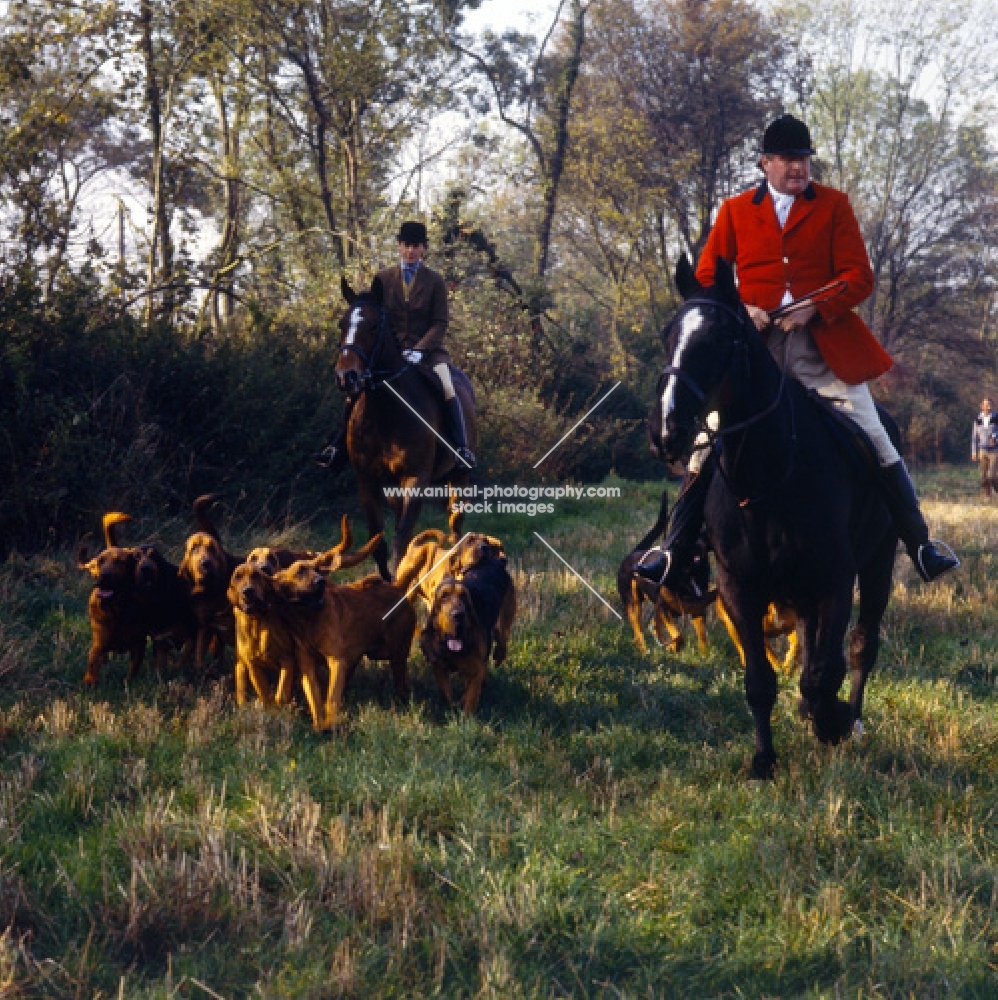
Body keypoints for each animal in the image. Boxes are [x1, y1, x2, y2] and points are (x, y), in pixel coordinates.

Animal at [336, 278, 476, 584]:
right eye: (342, 324)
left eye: (373, 326)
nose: (346, 377)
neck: (385, 413)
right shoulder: (367, 481)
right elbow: (378, 542)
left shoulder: (415, 478)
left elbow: (401, 542)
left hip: (459, 475)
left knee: (456, 525)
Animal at [656, 254, 900, 776]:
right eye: (669, 335)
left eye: (718, 339)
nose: (666, 432)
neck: (768, 477)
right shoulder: (738, 588)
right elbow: (761, 681)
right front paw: (764, 760)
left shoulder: (835, 578)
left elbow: (824, 670)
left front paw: (832, 722)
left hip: (878, 563)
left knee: (861, 646)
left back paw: (851, 718)